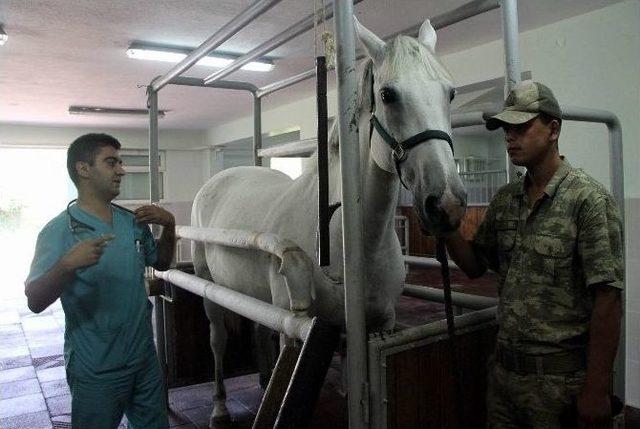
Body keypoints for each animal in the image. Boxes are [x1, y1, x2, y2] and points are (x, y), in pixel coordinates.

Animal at [190, 17, 464, 424]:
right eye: (388, 95)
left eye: (451, 93)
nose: (446, 202)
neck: (345, 243)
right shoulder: (296, 331)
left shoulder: (375, 327)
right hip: (210, 288)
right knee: (218, 341)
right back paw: (220, 408)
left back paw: (263, 382)